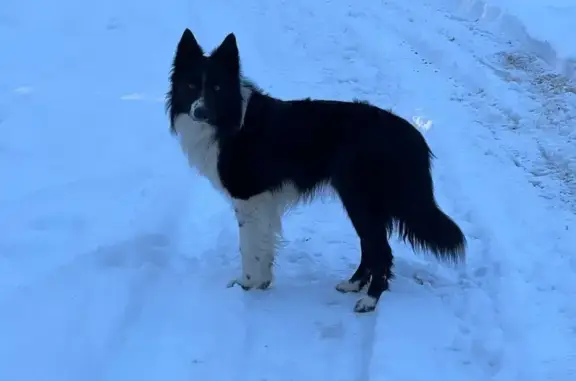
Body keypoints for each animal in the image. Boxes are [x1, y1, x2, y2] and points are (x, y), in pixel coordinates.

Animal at [164, 27, 466, 312]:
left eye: (216, 88)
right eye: (191, 85)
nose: (200, 112)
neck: (230, 120)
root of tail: (410, 134)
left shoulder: (248, 198)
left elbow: (248, 247)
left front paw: (246, 284)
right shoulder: (264, 201)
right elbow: (265, 243)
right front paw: (263, 282)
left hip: (360, 198)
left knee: (381, 250)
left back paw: (369, 300)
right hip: (358, 200)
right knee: (370, 247)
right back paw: (353, 284)